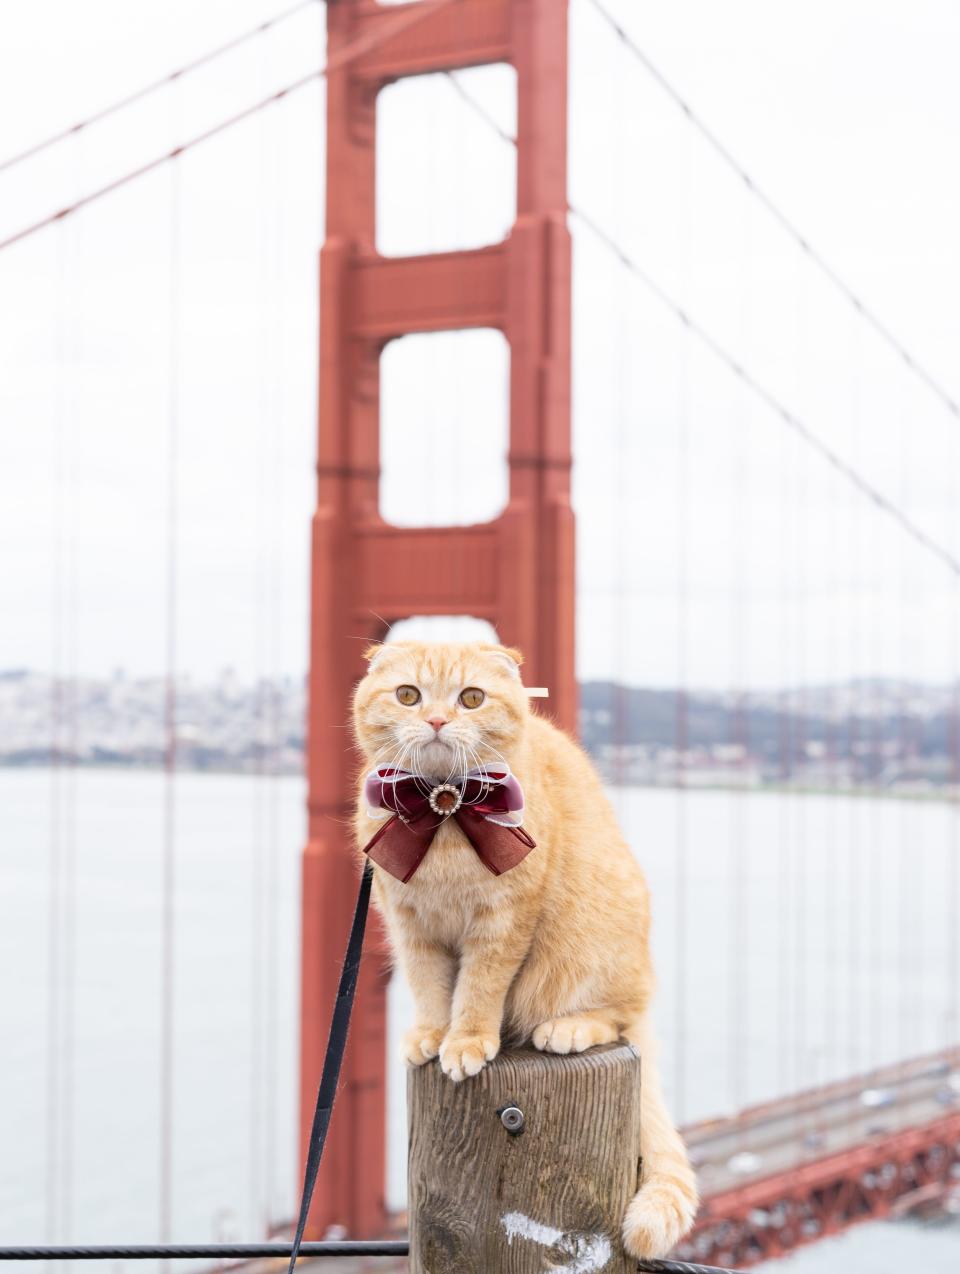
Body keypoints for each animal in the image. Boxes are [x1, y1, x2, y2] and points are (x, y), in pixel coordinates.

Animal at [351, 642, 697, 1258]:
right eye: (409, 695)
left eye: (471, 698)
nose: (436, 720)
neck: (443, 809)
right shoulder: (411, 926)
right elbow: (429, 987)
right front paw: (431, 1034)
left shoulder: (502, 923)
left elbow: (478, 990)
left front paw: (465, 1041)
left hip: (595, 952)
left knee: (619, 1017)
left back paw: (569, 1028)